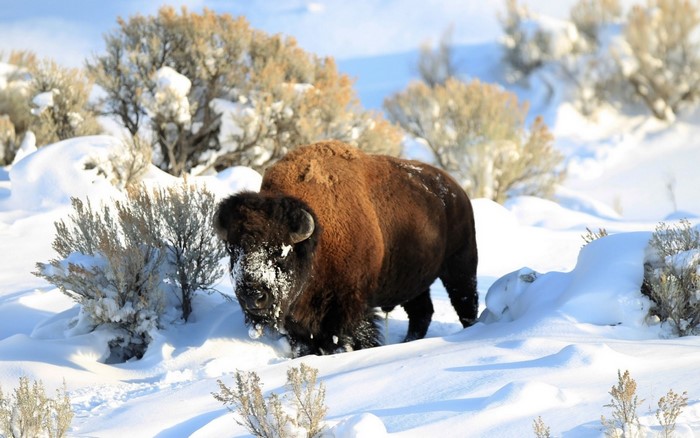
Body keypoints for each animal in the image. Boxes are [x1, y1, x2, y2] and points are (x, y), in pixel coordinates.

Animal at [214, 140, 478, 356]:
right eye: (233, 250)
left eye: (281, 251)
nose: (253, 296)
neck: (317, 241)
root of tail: (456, 191)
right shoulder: (300, 324)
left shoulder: (349, 308)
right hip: (413, 282)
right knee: (421, 312)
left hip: (460, 265)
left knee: (465, 302)